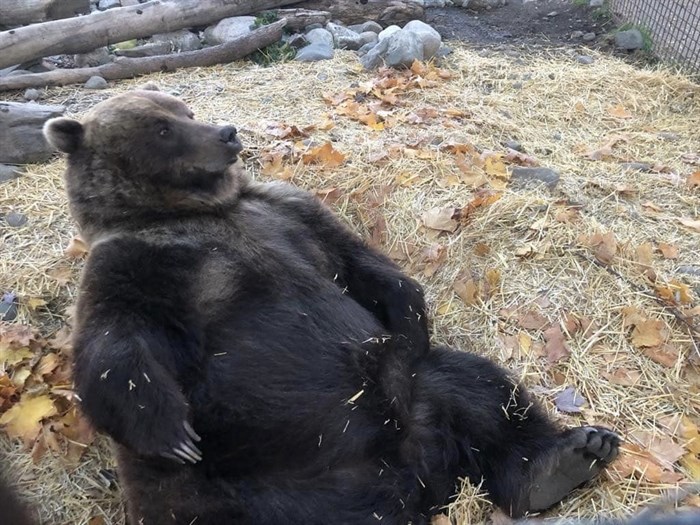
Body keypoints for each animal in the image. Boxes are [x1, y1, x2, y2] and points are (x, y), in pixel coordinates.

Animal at [42, 90, 616, 524]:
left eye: (185, 110)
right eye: (161, 128)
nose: (225, 133)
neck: (196, 211)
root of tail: (413, 477)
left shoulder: (287, 211)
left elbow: (362, 264)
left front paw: (411, 318)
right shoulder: (142, 264)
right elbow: (115, 340)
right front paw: (170, 429)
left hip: (415, 399)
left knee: (479, 392)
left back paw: (567, 459)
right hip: (224, 487)